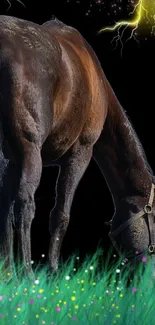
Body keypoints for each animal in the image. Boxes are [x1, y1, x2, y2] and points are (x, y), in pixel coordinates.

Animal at [0, 15, 154, 278]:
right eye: (152, 214)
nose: (147, 271)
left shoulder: (10, 159)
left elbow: (5, 207)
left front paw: (7, 271)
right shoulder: (80, 152)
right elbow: (60, 215)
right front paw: (52, 270)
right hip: (30, 152)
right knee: (26, 204)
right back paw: (28, 274)